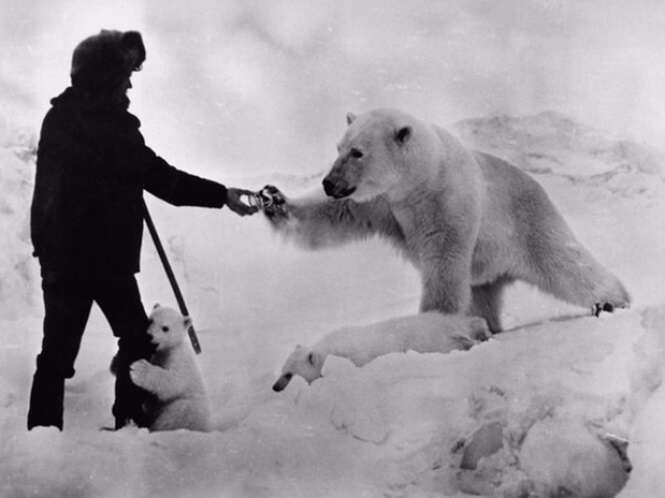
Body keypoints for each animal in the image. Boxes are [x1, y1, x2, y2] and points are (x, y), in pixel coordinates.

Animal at [264, 109, 628, 332]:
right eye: (338, 147)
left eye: (358, 152)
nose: (329, 182)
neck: (417, 181)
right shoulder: (380, 203)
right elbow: (332, 216)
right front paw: (273, 199)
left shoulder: (446, 202)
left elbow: (444, 262)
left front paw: (431, 324)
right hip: (487, 265)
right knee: (482, 294)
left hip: (528, 223)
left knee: (566, 264)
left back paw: (612, 301)